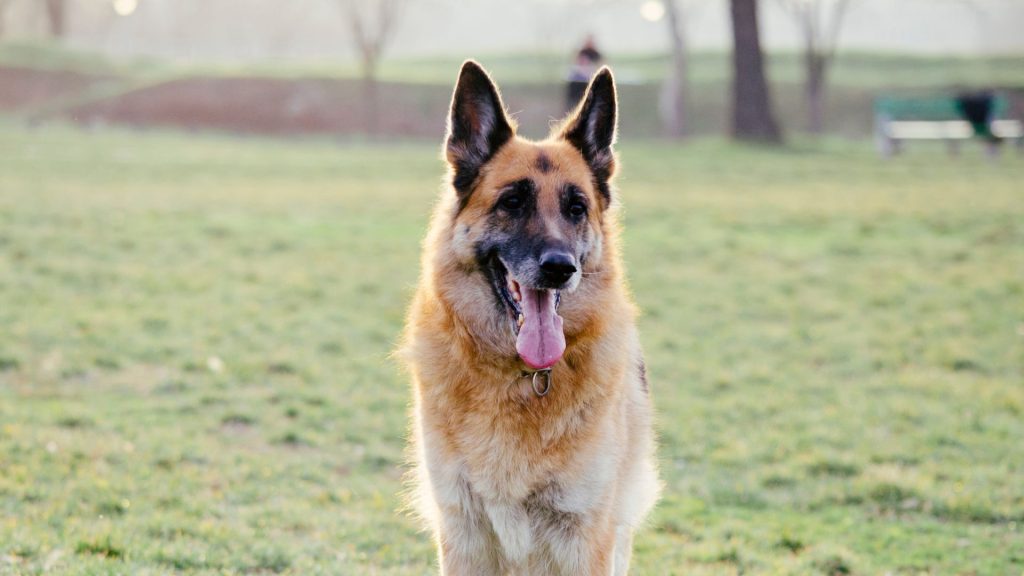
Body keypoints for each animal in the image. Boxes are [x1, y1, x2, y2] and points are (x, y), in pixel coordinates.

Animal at [403, 60, 659, 569]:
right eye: (512, 202)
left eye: (576, 207)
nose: (560, 268)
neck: (521, 378)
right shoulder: (463, 535)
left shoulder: (585, 539)